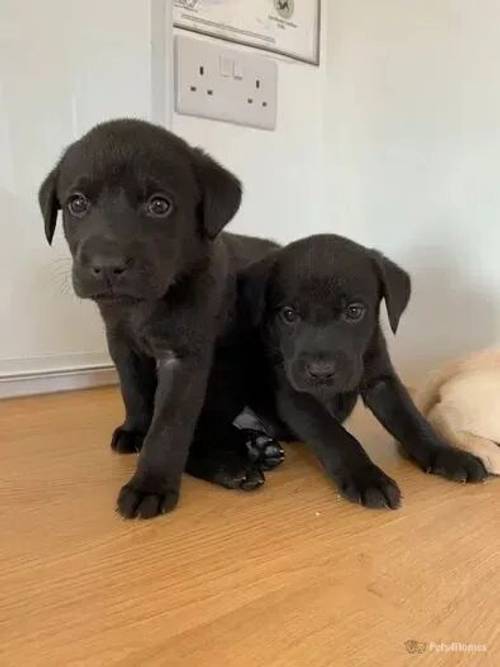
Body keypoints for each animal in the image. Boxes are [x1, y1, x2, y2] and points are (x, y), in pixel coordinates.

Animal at [38, 118, 282, 516]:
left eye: (159, 205)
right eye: (77, 203)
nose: (107, 265)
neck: (143, 305)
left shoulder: (183, 358)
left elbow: (169, 425)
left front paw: (150, 484)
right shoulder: (121, 343)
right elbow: (134, 391)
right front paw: (136, 429)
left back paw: (237, 462)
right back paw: (250, 452)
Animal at [240, 232, 486, 508]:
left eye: (354, 311)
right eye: (289, 314)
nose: (321, 371)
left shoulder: (381, 379)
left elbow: (411, 419)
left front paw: (445, 453)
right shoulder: (294, 392)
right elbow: (333, 433)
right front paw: (366, 477)